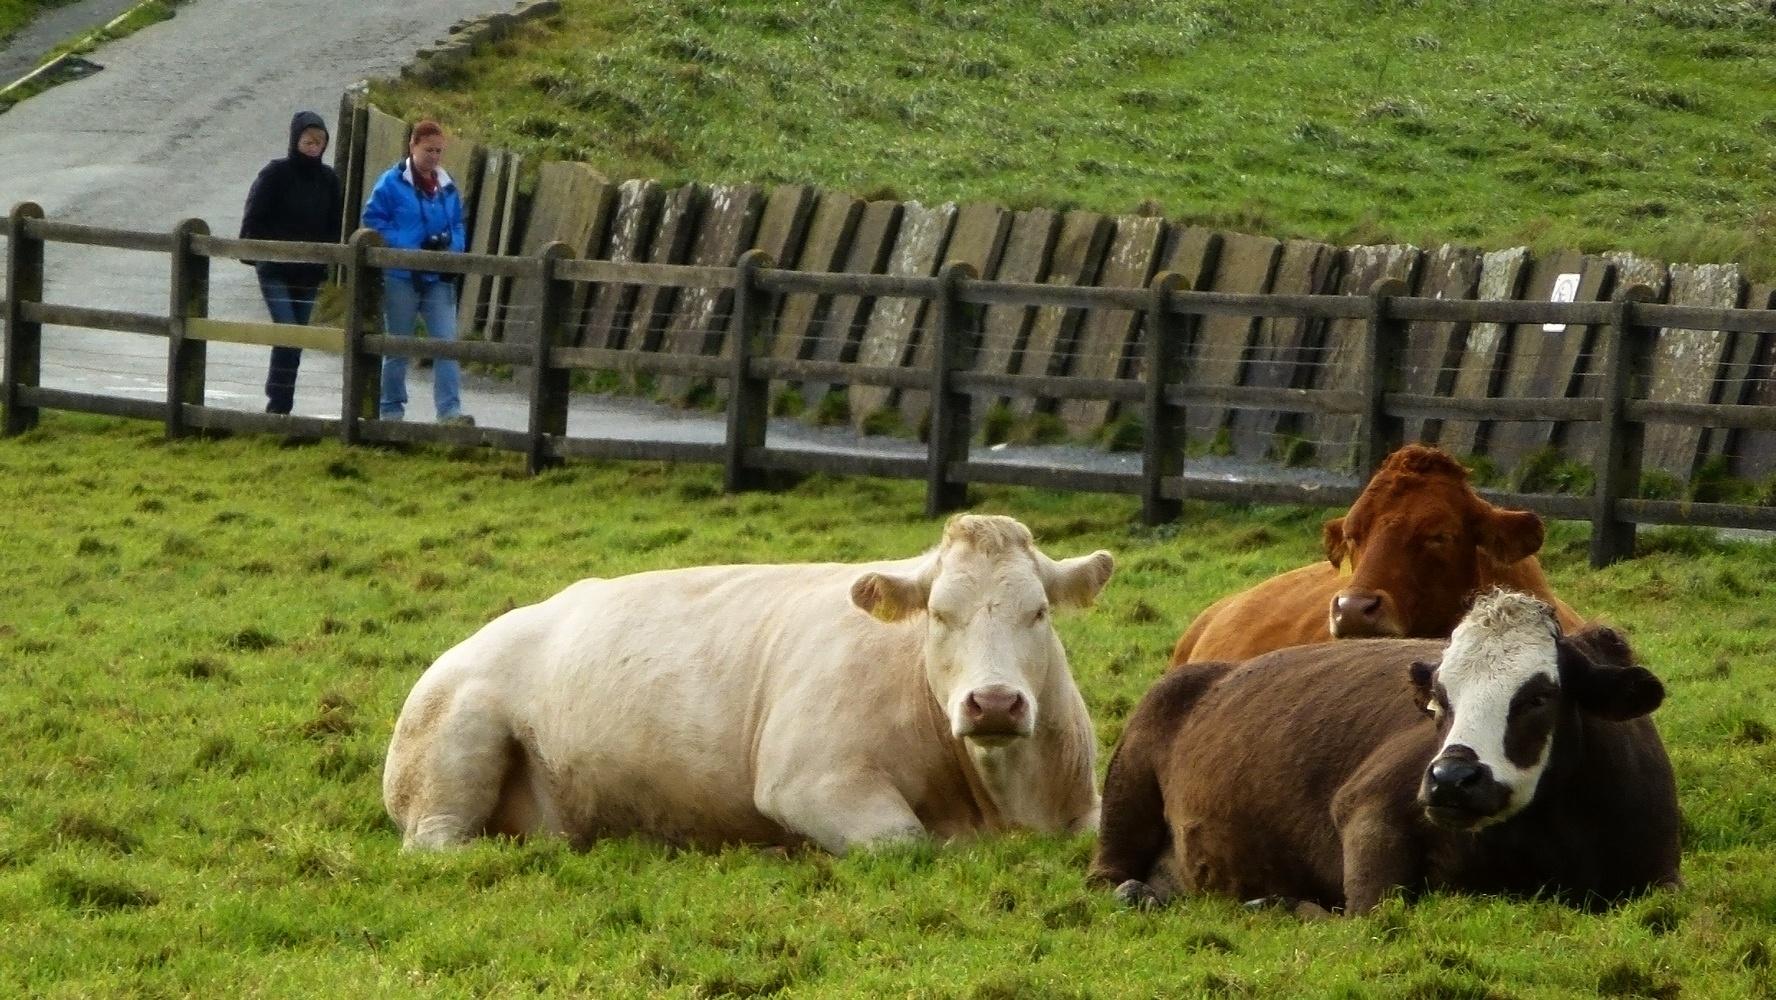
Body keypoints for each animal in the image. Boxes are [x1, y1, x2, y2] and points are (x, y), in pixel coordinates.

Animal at [385, 515, 1108, 852]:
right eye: (938, 613)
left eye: (1038, 612)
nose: (994, 703)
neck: (1000, 803)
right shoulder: (808, 780)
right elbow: (908, 842)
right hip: (454, 752)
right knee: (438, 841)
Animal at [1086, 589, 1683, 916]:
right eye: (1439, 698)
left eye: (1539, 696)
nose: (1451, 778)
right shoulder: (1368, 809)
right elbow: (1368, 914)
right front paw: (1276, 904)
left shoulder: (1664, 878)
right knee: (1106, 878)